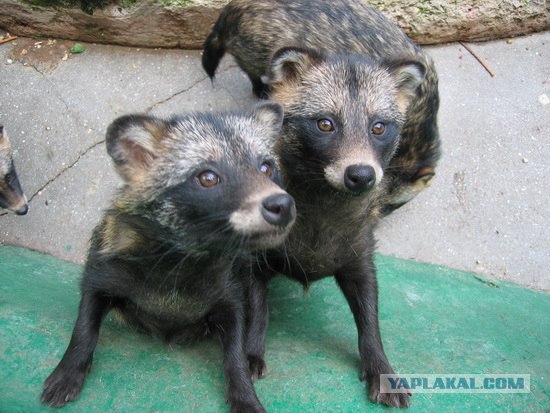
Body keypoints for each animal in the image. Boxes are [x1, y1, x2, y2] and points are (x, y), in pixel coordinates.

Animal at [40, 102, 296, 412]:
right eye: (207, 177)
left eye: (266, 167)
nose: (283, 205)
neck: (180, 269)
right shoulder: (100, 276)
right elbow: (83, 331)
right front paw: (68, 372)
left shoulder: (230, 297)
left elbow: (234, 357)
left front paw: (245, 396)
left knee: (259, 308)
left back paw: (254, 352)